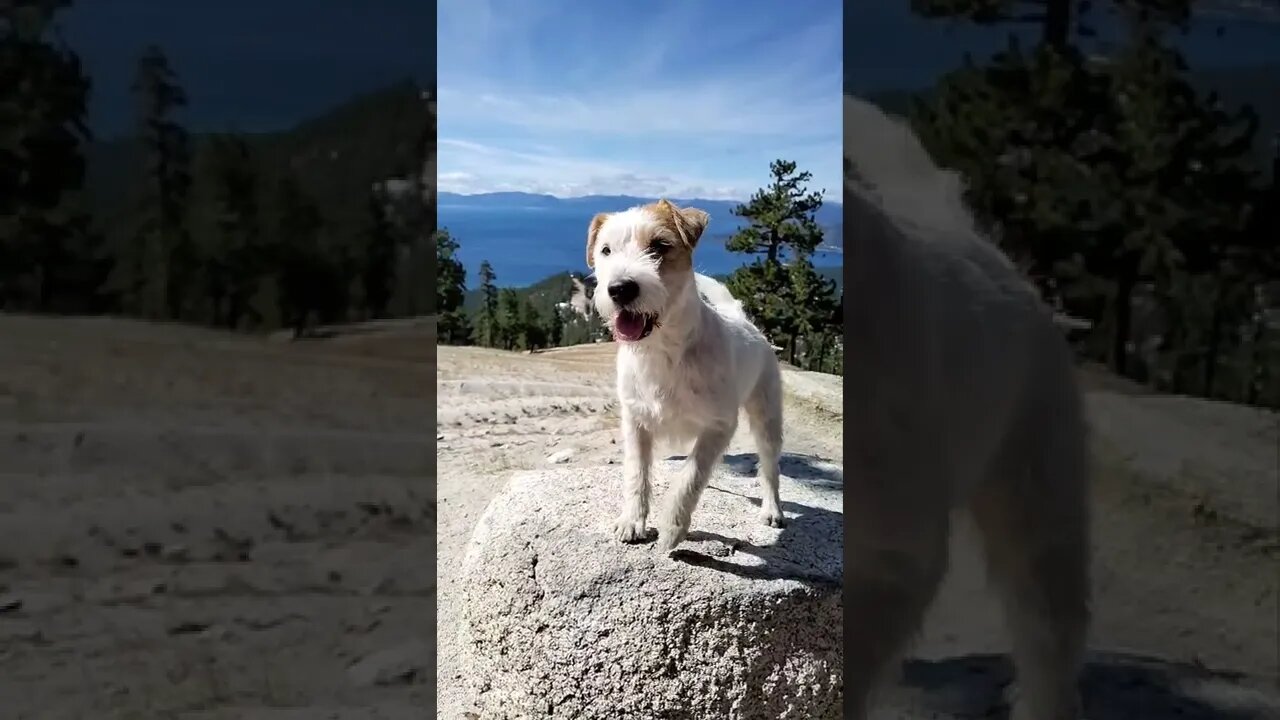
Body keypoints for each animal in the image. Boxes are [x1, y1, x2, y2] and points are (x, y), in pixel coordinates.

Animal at [586, 198, 783, 550]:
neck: (662, 350)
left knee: (769, 467)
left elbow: (691, 476)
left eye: (660, 246)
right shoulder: (635, 422)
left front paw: (673, 526)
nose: (620, 289)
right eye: (606, 250)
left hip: (767, 419)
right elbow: (637, 472)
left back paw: (772, 509)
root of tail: (744, 321)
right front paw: (632, 520)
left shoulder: (719, 426)